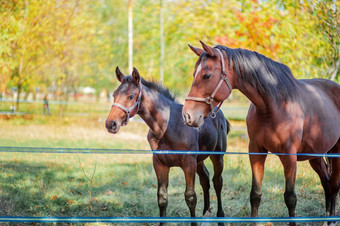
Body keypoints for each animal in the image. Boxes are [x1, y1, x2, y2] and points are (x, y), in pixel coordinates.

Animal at [105, 66, 230, 224]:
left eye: (131, 96)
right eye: (114, 94)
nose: (111, 124)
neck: (168, 126)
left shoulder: (188, 163)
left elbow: (190, 197)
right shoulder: (160, 164)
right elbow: (162, 197)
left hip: (217, 157)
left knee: (217, 182)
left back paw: (220, 217)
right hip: (199, 160)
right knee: (205, 179)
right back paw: (206, 213)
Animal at [183, 41, 340, 223]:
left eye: (206, 75)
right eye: (194, 74)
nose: (187, 115)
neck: (274, 105)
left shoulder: (289, 157)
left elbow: (290, 198)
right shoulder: (256, 152)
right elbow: (255, 195)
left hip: (335, 151)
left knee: (334, 185)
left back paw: (331, 220)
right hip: (315, 155)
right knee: (326, 182)